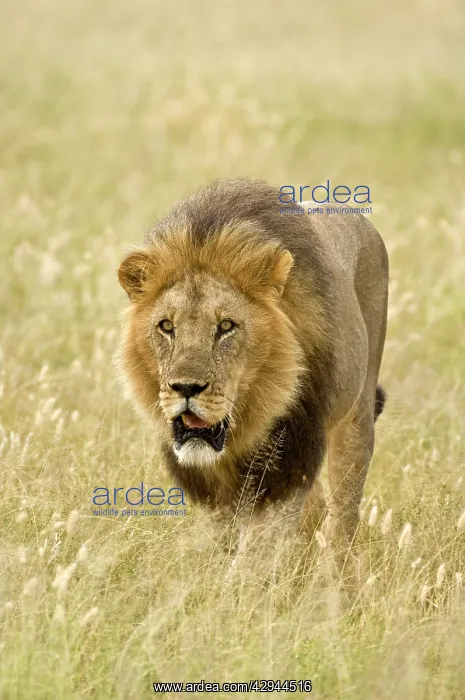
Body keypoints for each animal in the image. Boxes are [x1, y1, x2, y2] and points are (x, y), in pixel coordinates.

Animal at [116, 178, 388, 561]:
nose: (186, 388)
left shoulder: (286, 466)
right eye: (166, 326)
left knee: (343, 518)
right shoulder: (213, 492)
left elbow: (254, 555)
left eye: (227, 326)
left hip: (356, 419)